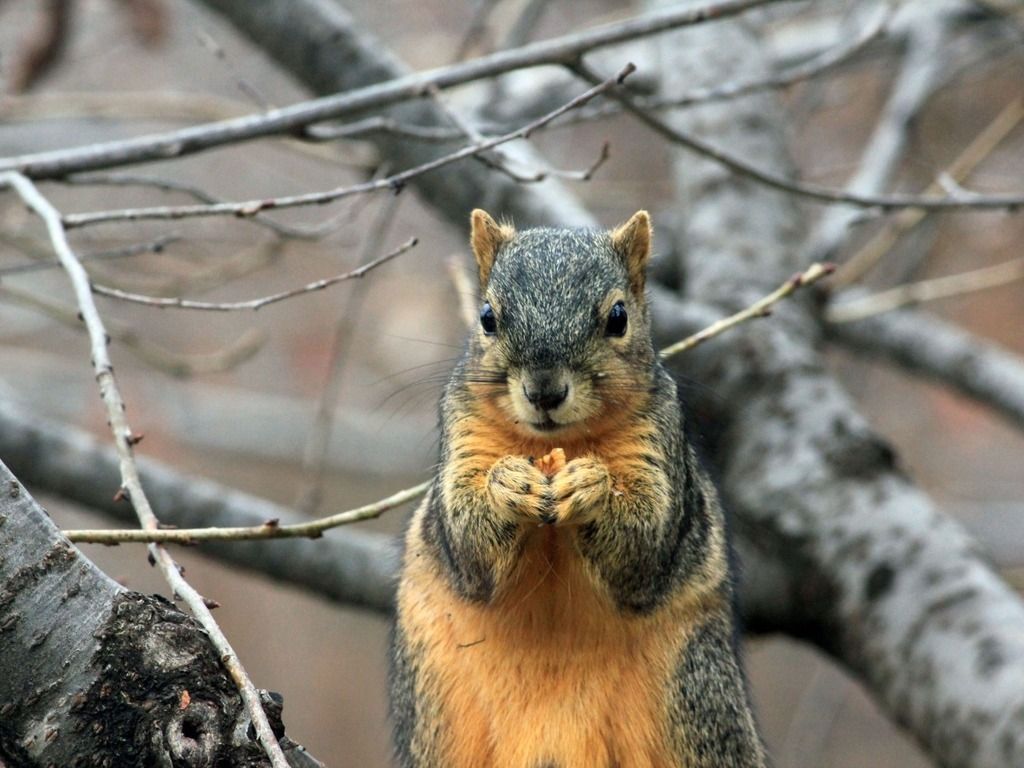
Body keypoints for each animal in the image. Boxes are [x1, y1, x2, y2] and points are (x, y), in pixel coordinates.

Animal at [387, 210, 765, 768]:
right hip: (433, 710)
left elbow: (645, 544)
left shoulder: (658, 443)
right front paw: (508, 484)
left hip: (696, 696)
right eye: (487, 317)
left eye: (618, 318)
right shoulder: (462, 434)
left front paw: (592, 488)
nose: (544, 391)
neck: (554, 444)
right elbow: (467, 543)